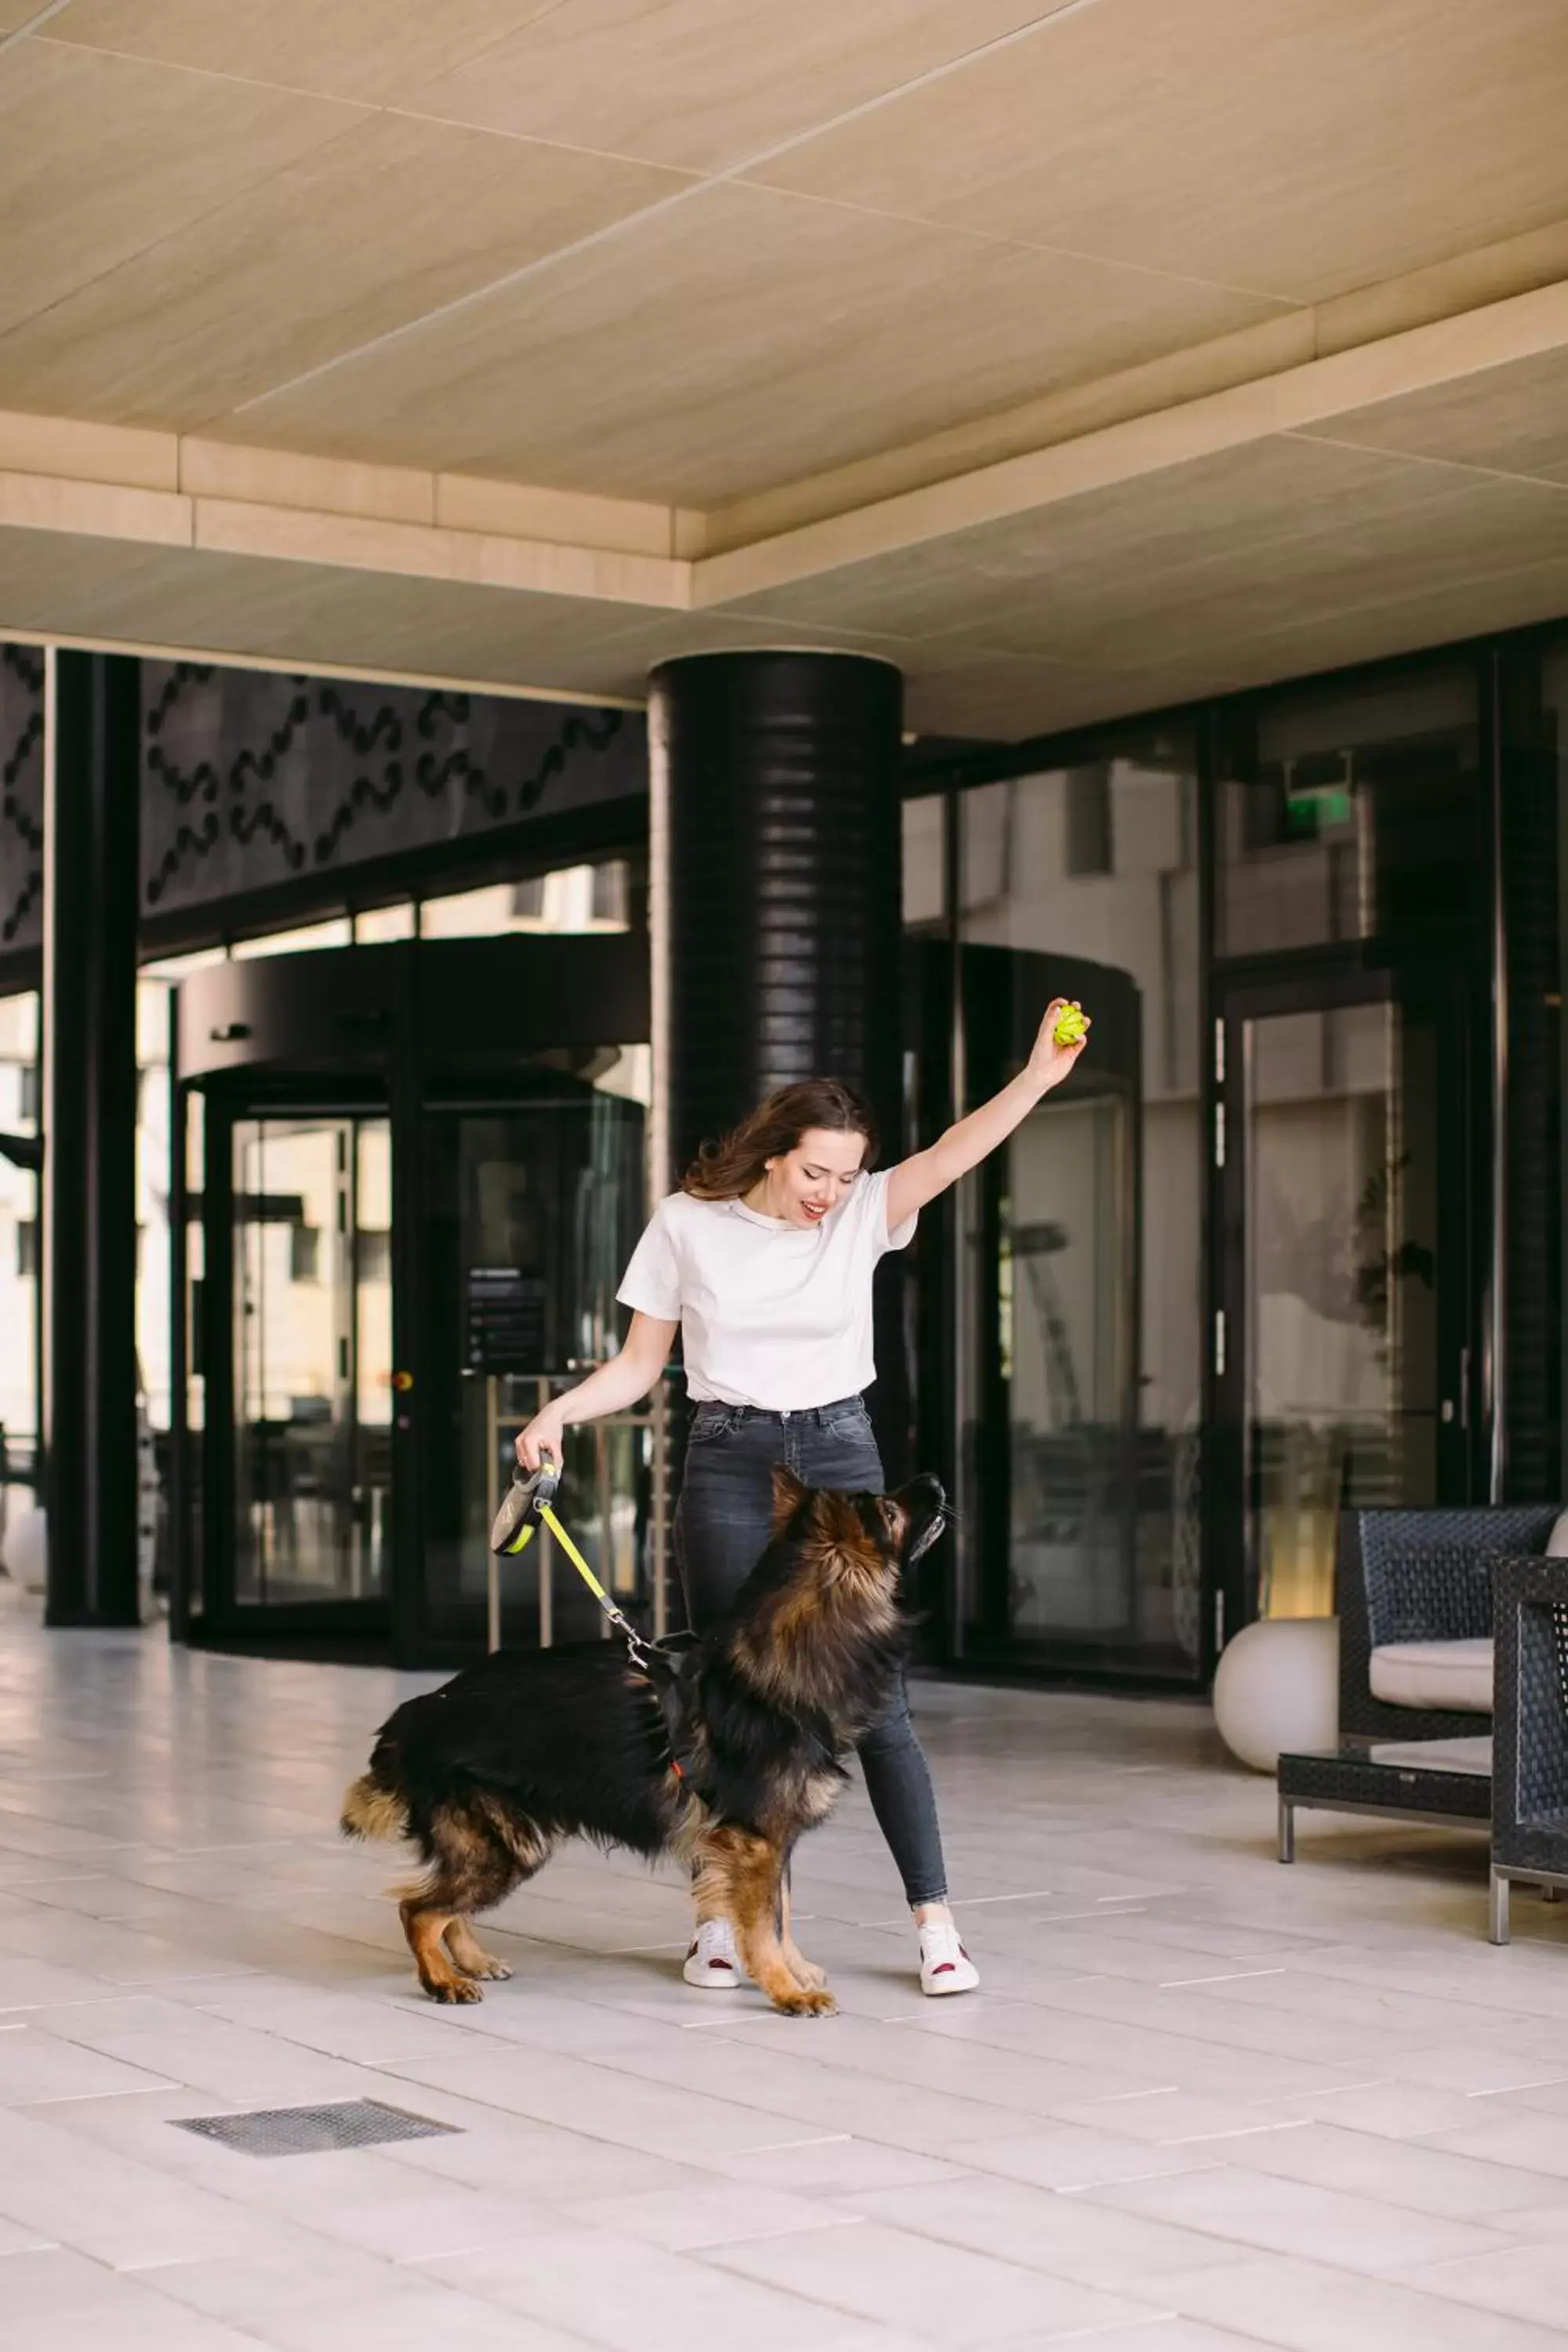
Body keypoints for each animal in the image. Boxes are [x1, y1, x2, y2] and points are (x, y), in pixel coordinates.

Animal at [345, 1458, 949, 2013]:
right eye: (890, 1511)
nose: (937, 1480)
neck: (784, 1664)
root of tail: (420, 1710)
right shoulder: (755, 1841)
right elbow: (763, 1926)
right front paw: (785, 1989)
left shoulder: (769, 1839)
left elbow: (780, 1915)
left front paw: (794, 1971)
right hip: (503, 1847)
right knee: (419, 1910)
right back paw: (441, 1980)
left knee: (446, 1907)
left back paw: (470, 1960)